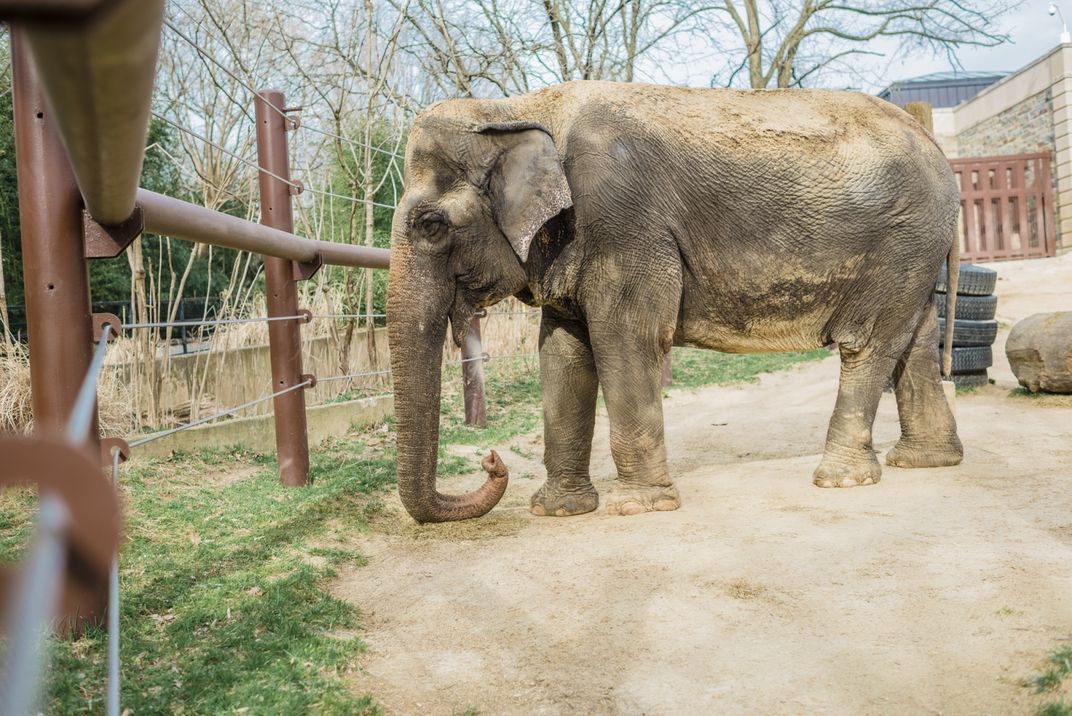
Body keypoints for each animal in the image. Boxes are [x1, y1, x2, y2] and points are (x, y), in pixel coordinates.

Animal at [385, 79, 964, 525]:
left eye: (430, 225)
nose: (491, 459)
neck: (515, 107)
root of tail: (936, 145)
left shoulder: (624, 223)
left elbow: (627, 340)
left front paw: (638, 509)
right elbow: (563, 353)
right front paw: (556, 511)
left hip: (902, 241)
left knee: (868, 345)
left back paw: (839, 480)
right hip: (916, 251)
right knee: (915, 342)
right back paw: (925, 461)